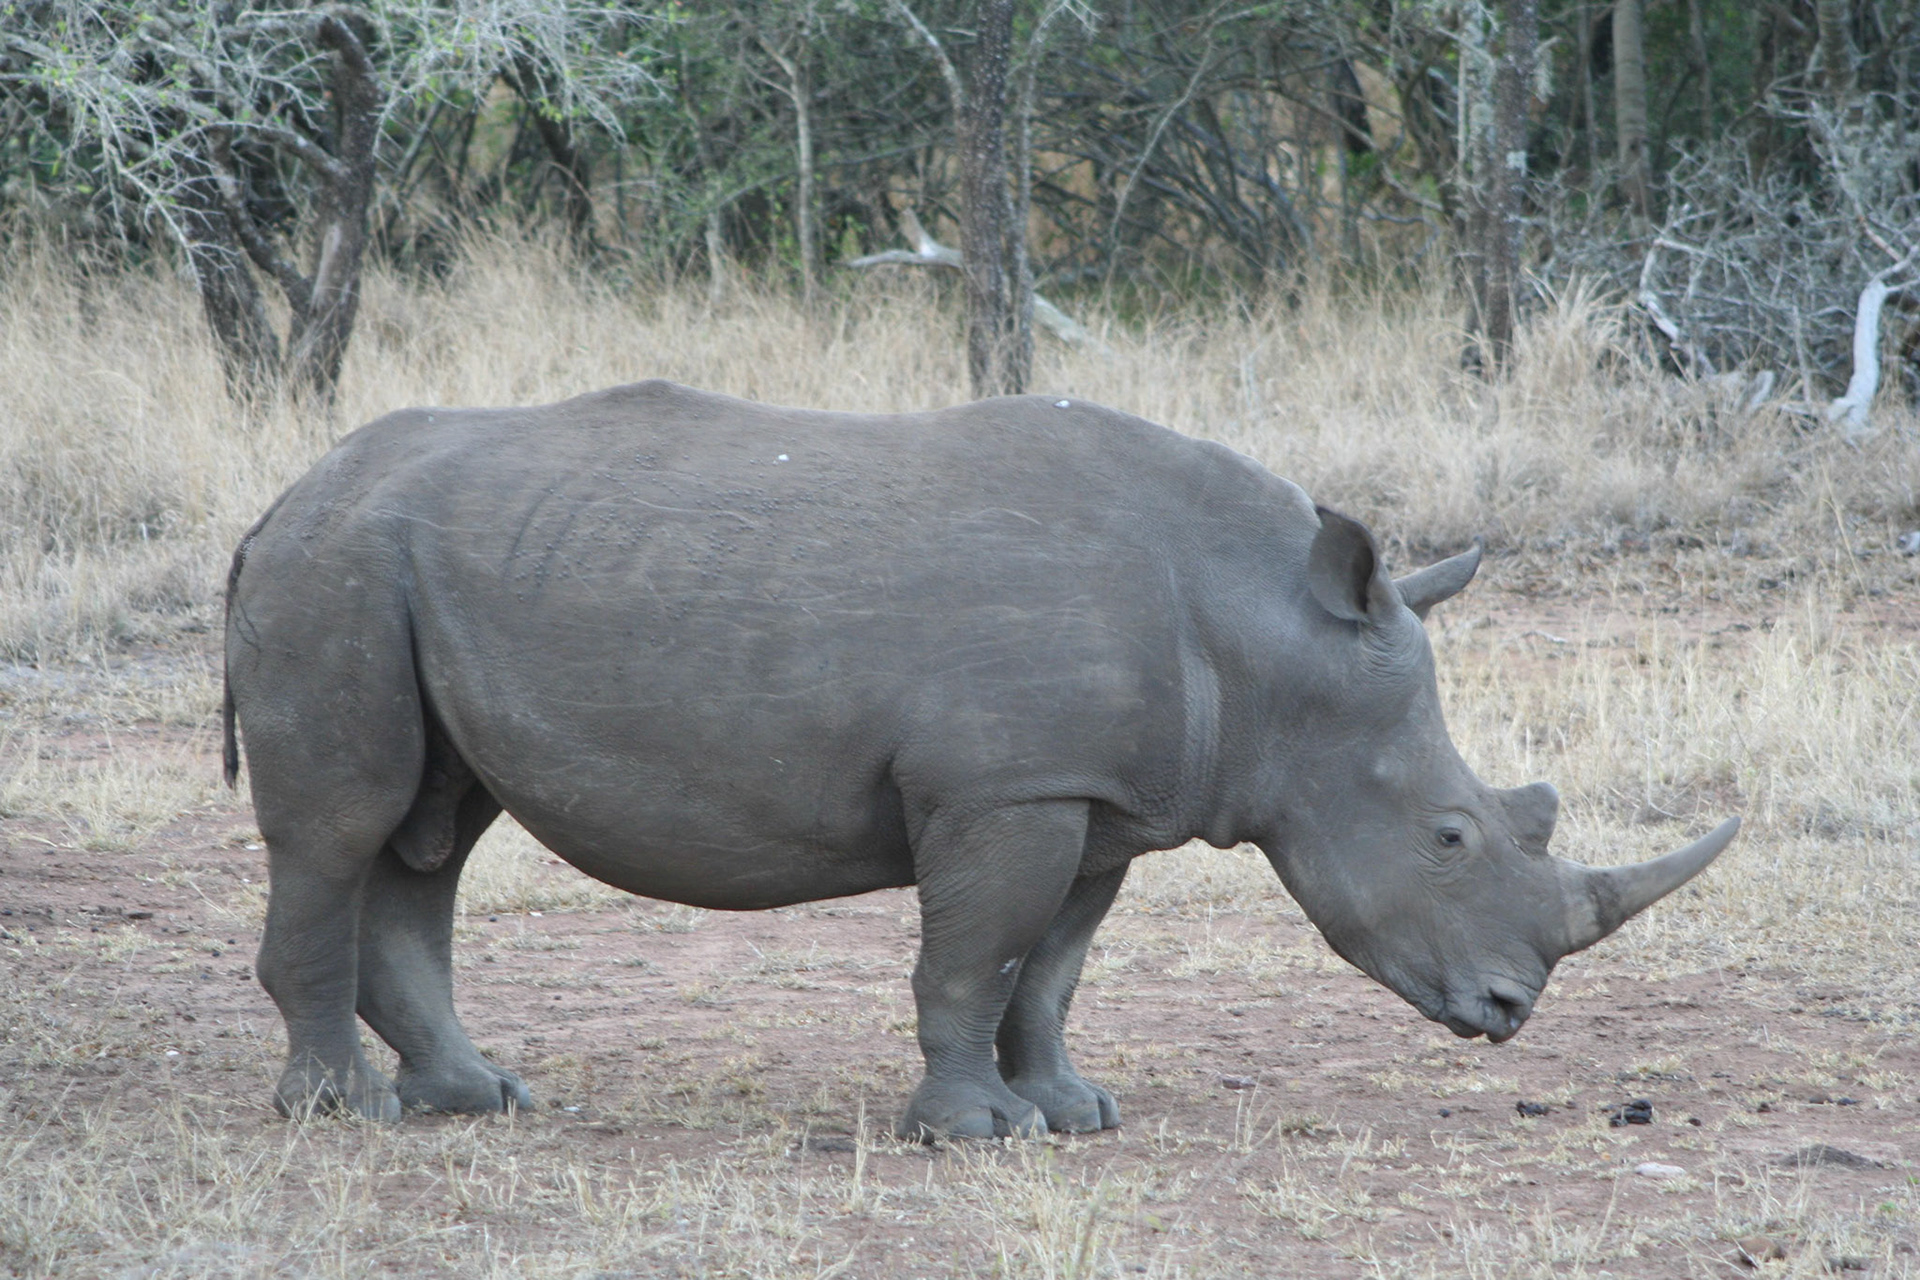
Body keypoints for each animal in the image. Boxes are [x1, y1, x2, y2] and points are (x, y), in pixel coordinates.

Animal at [222, 380, 1737, 1139]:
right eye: (1450, 838)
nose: (1510, 1011)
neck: (1266, 634)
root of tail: (282, 495)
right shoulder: (1005, 790)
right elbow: (970, 956)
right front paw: (970, 1132)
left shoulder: (1099, 794)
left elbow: (1050, 968)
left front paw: (1073, 1113)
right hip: (339, 570)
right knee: (345, 828)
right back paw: (336, 1116)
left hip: (410, 565)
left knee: (433, 831)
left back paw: (476, 1101)